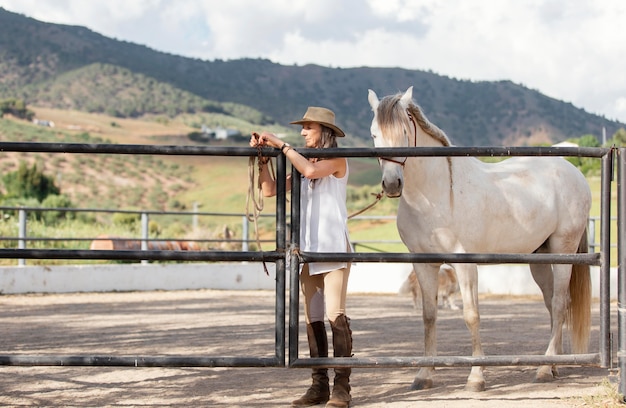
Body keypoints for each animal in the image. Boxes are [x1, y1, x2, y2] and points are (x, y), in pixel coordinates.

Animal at [366, 86, 588, 392]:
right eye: (374, 133)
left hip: (562, 251)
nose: (391, 184)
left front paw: (476, 377)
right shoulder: (424, 264)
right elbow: (429, 316)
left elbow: (471, 315)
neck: (435, 196)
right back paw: (553, 366)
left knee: (559, 303)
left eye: (403, 131)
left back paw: (544, 369)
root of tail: (573, 172)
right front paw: (424, 375)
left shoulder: (465, 265)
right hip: (540, 258)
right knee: (552, 305)